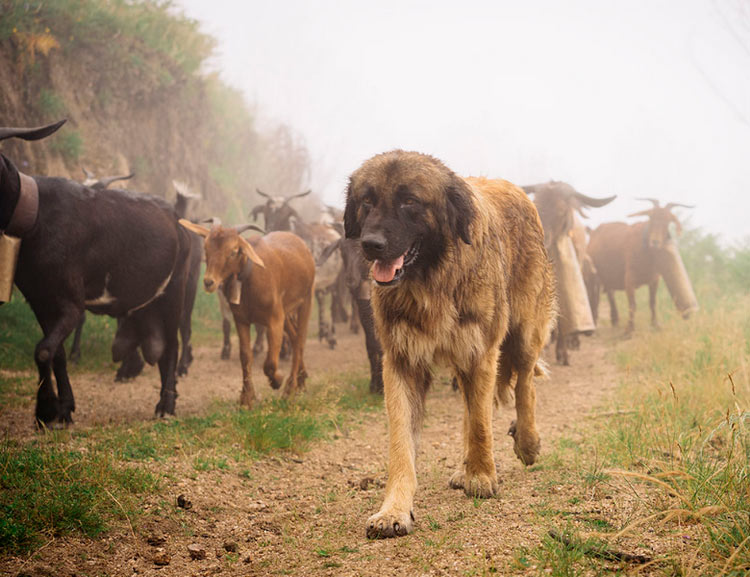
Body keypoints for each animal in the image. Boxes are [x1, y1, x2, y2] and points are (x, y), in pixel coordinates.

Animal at [0, 120, 197, 425]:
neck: (39, 215)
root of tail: (177, 218)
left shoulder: (70, 302)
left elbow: (43, 350)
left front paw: (46, 410)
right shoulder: (40, 301)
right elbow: (56, 353)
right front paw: (64, 409)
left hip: (175, 291)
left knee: (172, 347)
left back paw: (166, 405)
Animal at [179, 221, 315, 407]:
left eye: (233, 251)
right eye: (206, 247)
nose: (208, 282)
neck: (250, 280)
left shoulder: (274, 319)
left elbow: (270, 362)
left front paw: (277, 380)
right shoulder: (241, 319)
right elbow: (245, 356)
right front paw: (246, 398)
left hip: (306, 299)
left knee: (300, 339)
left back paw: (289, 388)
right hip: (287, 311)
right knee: (295, 338)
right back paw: (301, 381)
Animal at [587, 199, 698, 333]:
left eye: (667, 221)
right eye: (651, 218)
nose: (655, 242)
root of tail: (593, 232)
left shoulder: (655, 279)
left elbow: (652, 302)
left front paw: (655, 324)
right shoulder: (629, 279)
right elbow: (632, 305)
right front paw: (629, 329)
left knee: (610, 294)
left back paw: (615, 320)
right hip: (594, 275)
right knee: (594, 298)